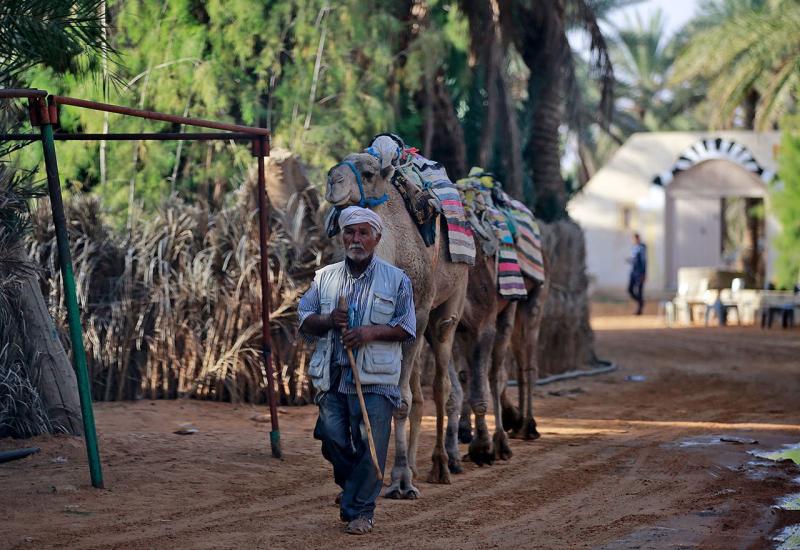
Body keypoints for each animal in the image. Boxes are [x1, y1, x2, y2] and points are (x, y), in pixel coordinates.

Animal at [324, 152, 466, 500]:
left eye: (368, 173)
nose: (333, 180)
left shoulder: (418, 311)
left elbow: (400, 401)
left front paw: (401, 482)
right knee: (419, 390)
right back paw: (415, 465)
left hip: (448, 306)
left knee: (440, 385)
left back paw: (440, 466)